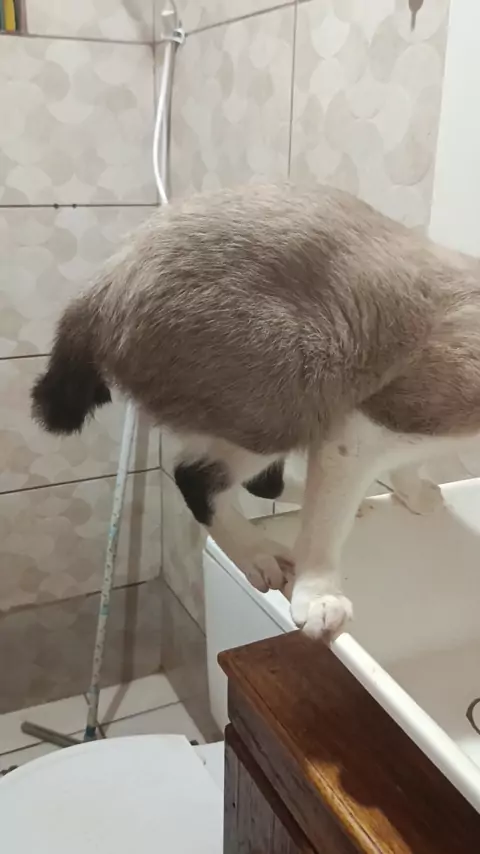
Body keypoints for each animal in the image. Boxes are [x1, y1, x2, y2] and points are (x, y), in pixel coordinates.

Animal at [30, 183, 480, 640]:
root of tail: (104, 277)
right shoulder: (371, 423)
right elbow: (323, 535)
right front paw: (319, 601)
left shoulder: (409, 432)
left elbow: (405, 469)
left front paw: (420, 497)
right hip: (293, 389)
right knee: (197, 476)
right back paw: (261, 556)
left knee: (263, 482)